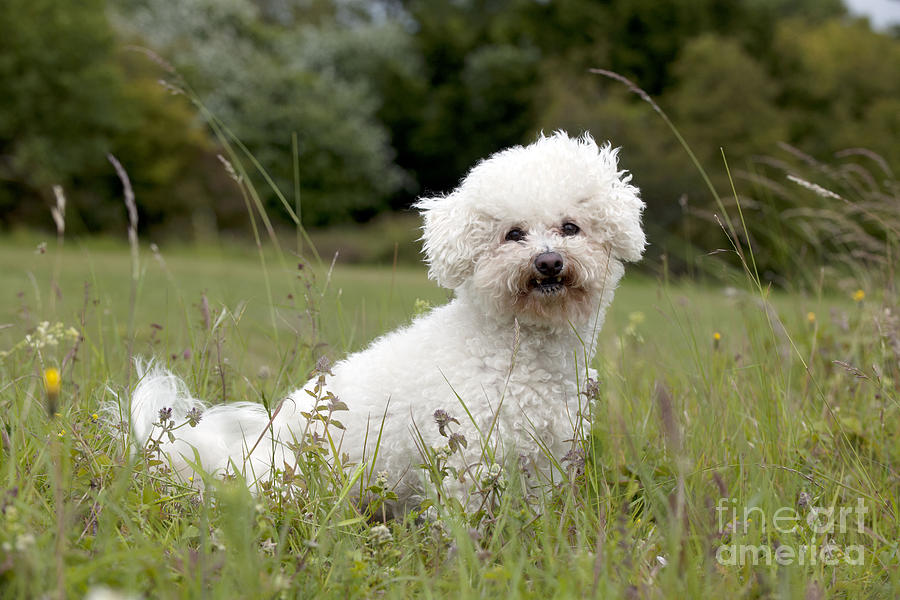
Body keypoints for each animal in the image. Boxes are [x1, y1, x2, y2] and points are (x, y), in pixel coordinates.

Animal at [130, 131, 644, 506]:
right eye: (513, 234)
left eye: (571, 227)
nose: (549, 262)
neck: (518, 349)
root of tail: (228, 460)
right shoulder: (467, 456)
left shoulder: (544, 457)